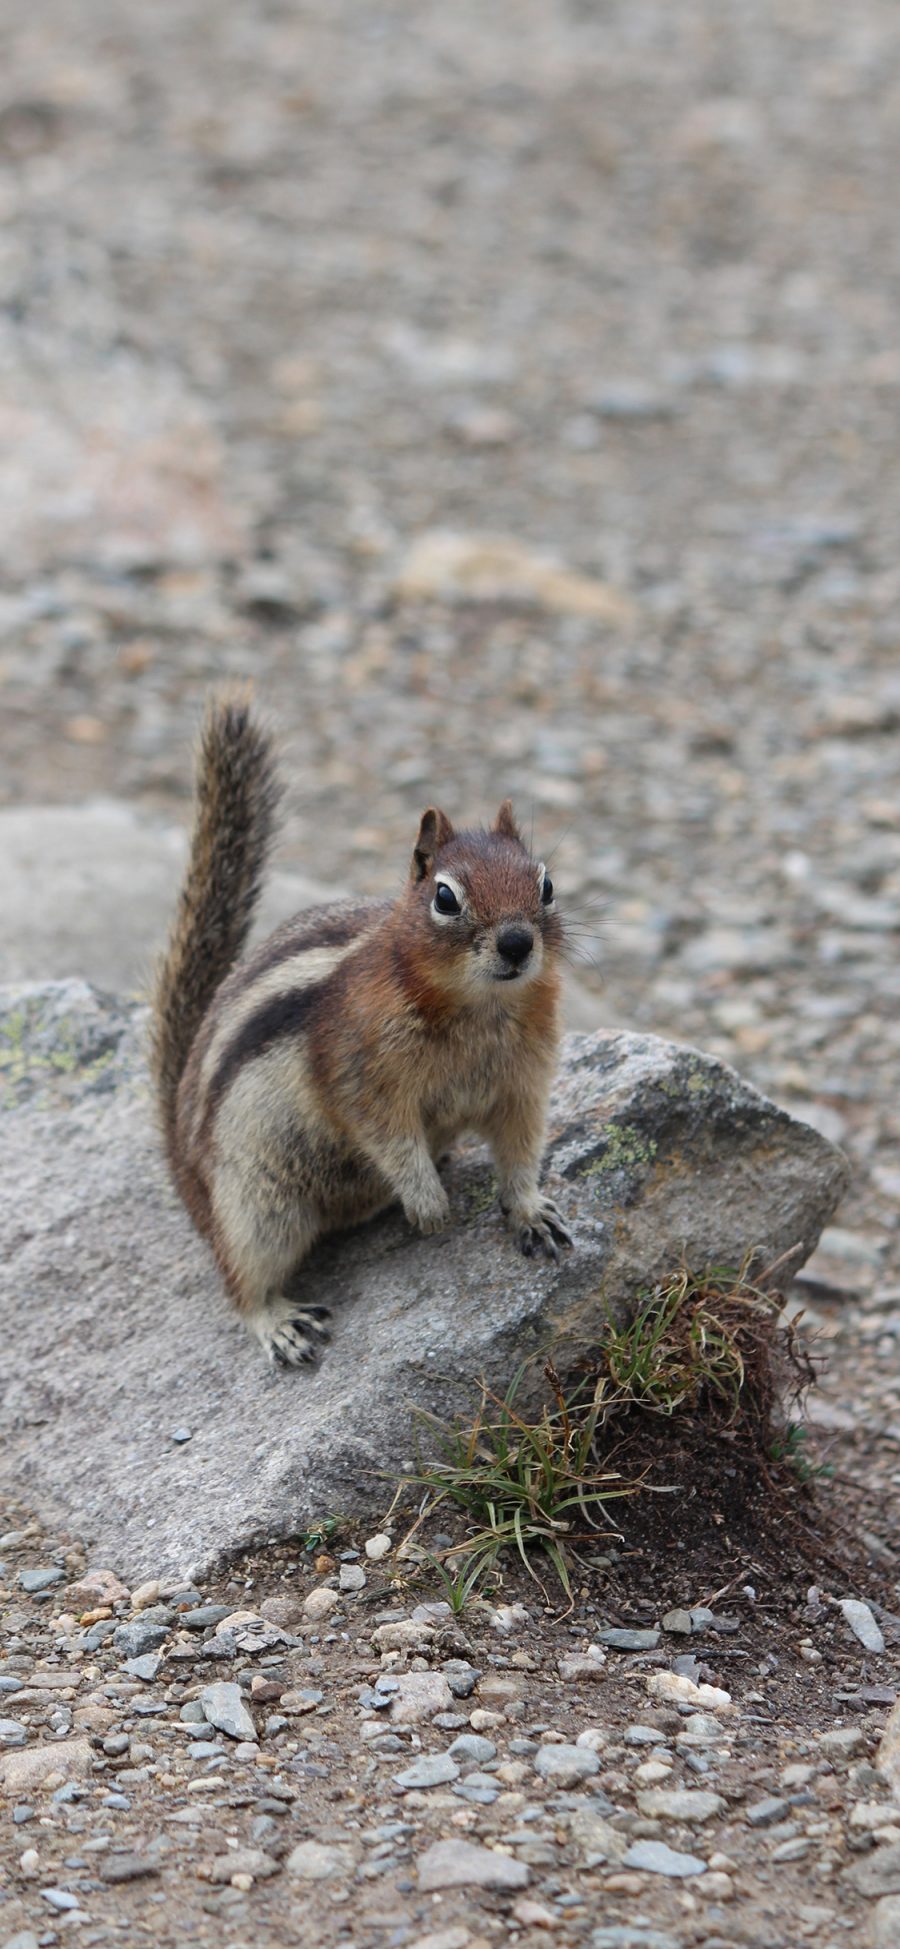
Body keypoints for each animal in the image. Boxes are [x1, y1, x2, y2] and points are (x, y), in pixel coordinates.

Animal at [147, 693, 568, 1364]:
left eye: (546, 884)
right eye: (444, 898)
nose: (516, 943)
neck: (481, 1010)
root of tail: (181, 1168)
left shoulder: (523, 1083)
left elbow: (523, 1148)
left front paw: (529, 1210)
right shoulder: (358, 1069)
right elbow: (385, 1134)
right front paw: (428, 1205)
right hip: (256, 1208)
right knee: (241, 1280)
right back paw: (280, 1322)